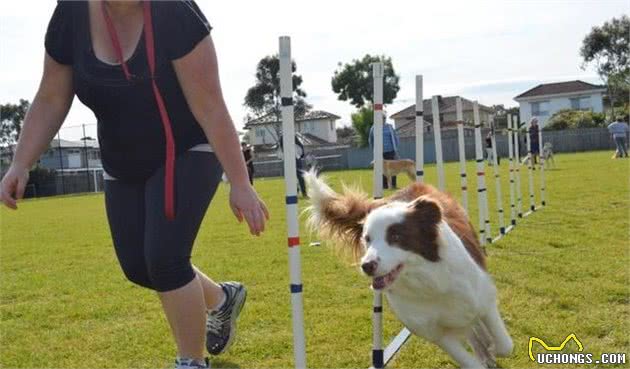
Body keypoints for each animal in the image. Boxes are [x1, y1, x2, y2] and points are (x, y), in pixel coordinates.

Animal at [304, 171, 516, 366]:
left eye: (396, 236)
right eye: (367, 239)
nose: (366, 266)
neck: (426, 281)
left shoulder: (483, 299)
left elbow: (505, 345)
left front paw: (491, 347)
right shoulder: (436, 333)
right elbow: (469, 360)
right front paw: (485, 352)